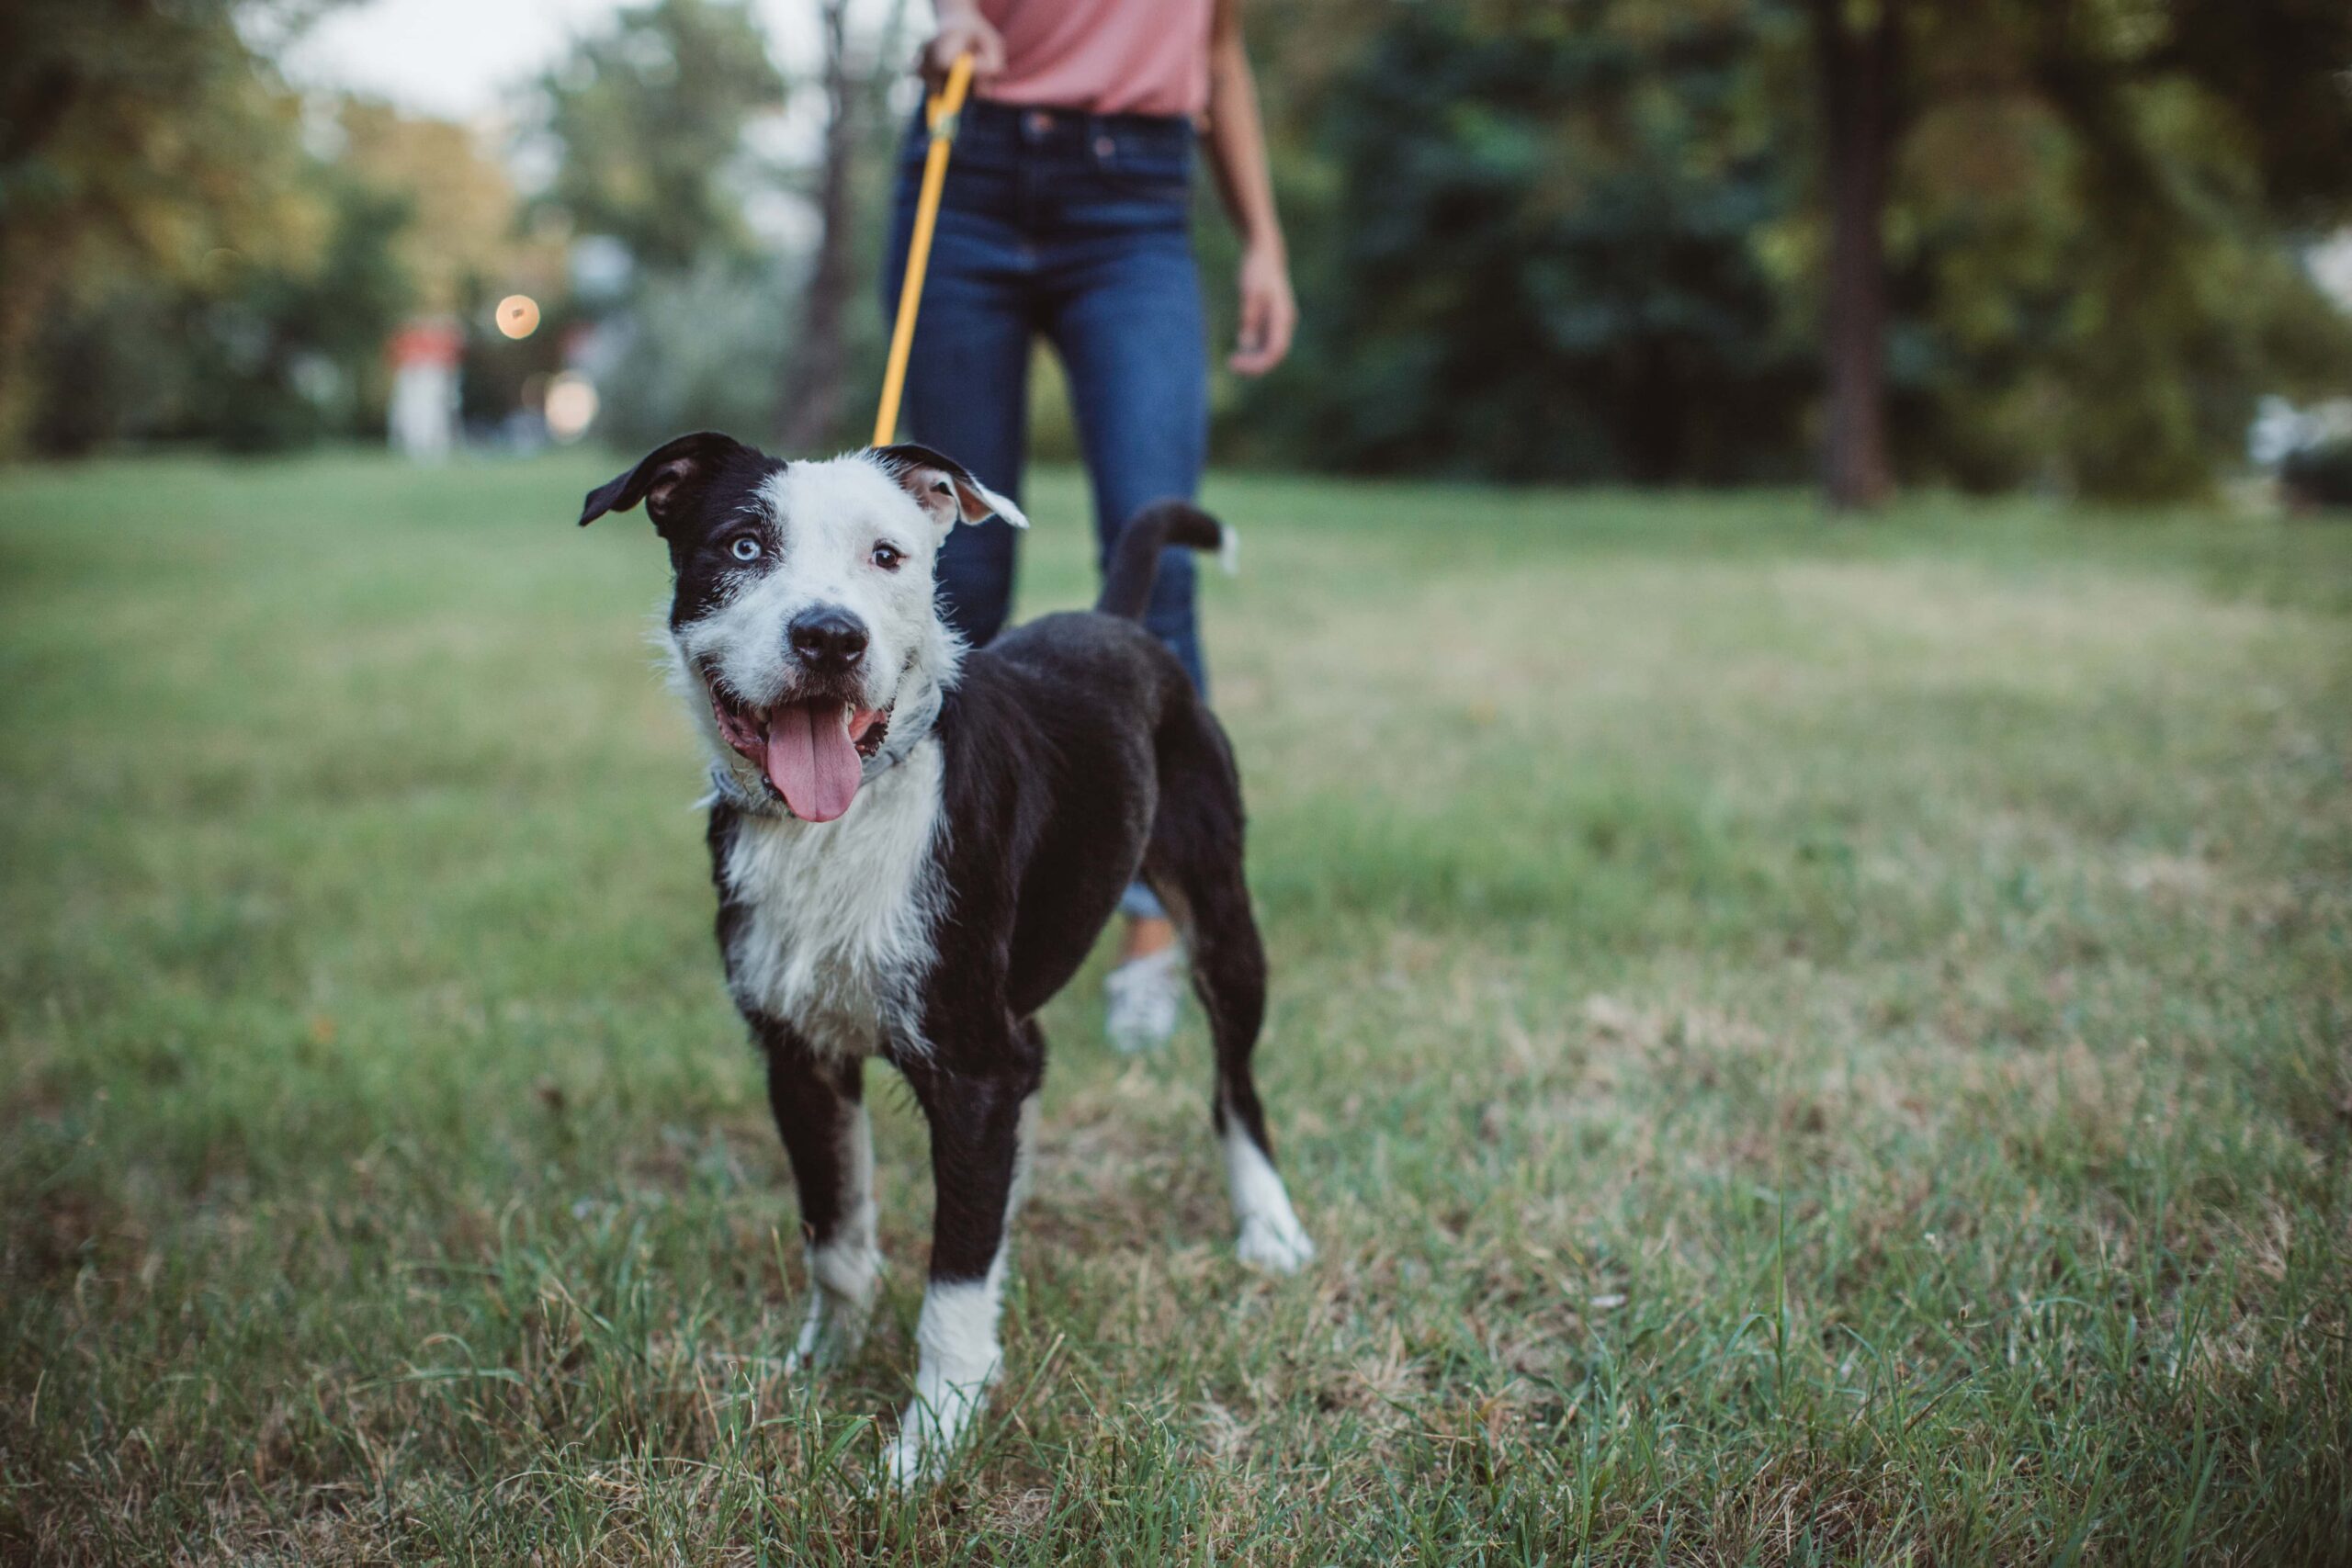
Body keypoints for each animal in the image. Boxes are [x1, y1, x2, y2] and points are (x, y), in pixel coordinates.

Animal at [578, 439, 1317, 1485]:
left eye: (888, 555)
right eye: (743, 544)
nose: (830, 638)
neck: (846, 817)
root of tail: (1114, 622)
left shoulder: (969, 1068)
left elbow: (953, 1282)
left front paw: (931, 1440)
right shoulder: (800, 1056)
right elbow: (837, 1236)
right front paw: (820, 1368)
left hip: (1219, 913)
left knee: (1234, 1085)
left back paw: (1268, 1226)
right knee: (1039, 1064)